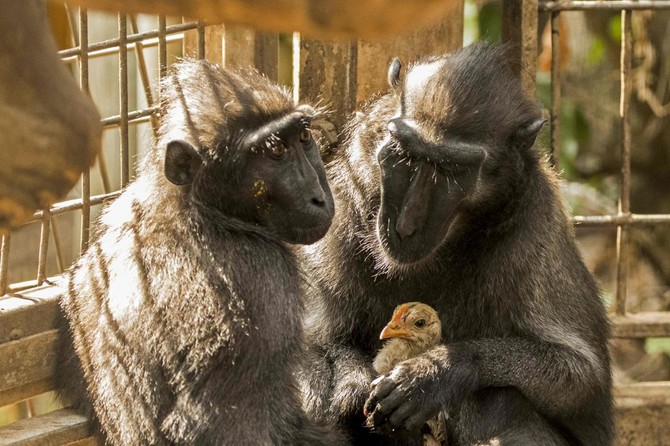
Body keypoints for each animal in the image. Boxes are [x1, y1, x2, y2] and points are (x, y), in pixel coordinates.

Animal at [300, 42, 616, 446]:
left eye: (452, 171)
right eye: (404, 154)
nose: (405, 225)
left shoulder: (534, 227)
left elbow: (583, 380)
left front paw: (437, 372)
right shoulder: (339, 198)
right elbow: (311, 343)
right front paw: (352, 384)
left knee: (495, 396)